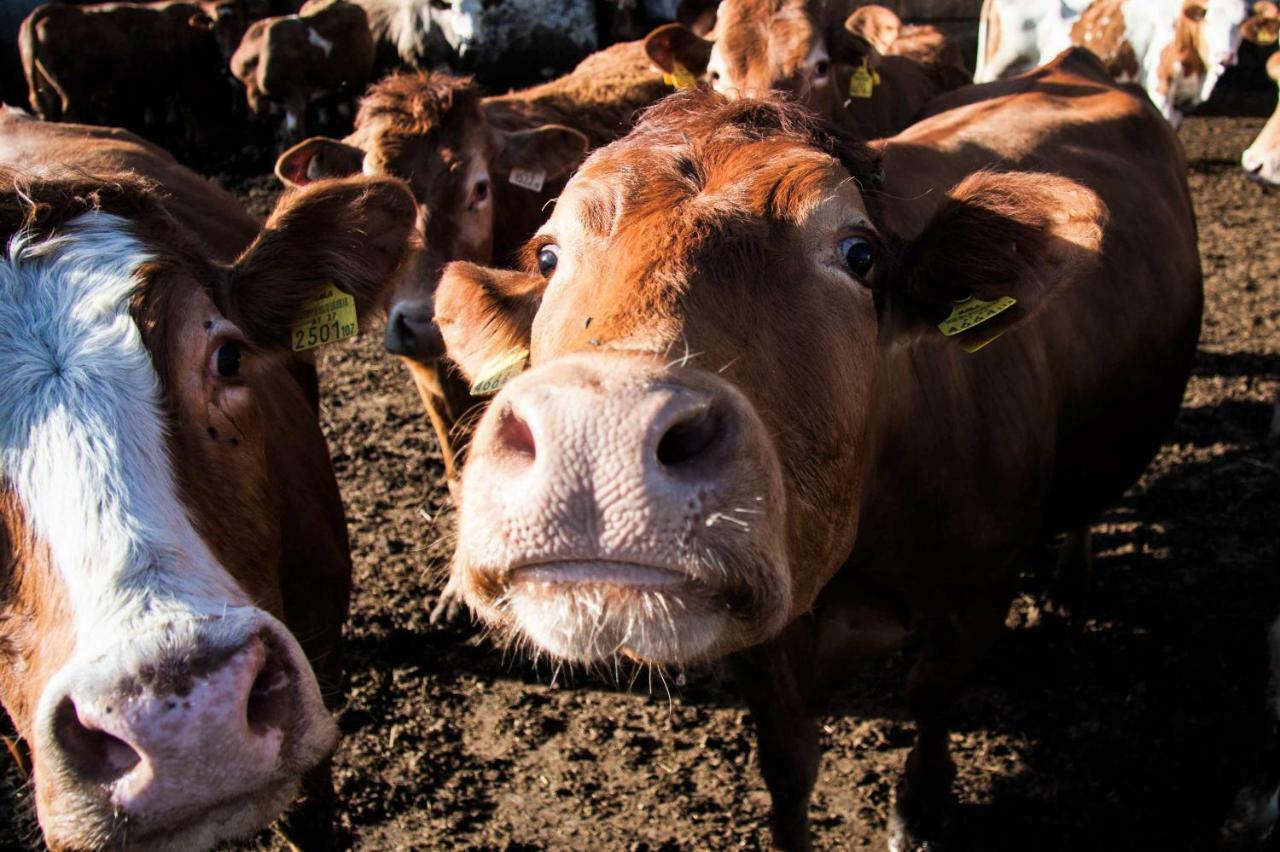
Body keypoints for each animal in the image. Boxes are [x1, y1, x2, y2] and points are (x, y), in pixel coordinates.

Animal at [437, 49, 1198, 844]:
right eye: (548, 256)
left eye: (859, 253)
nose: (597, 433)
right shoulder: (764, 649)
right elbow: (788, 761)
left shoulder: (978, 594)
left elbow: (930, 699)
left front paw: (917, 811)